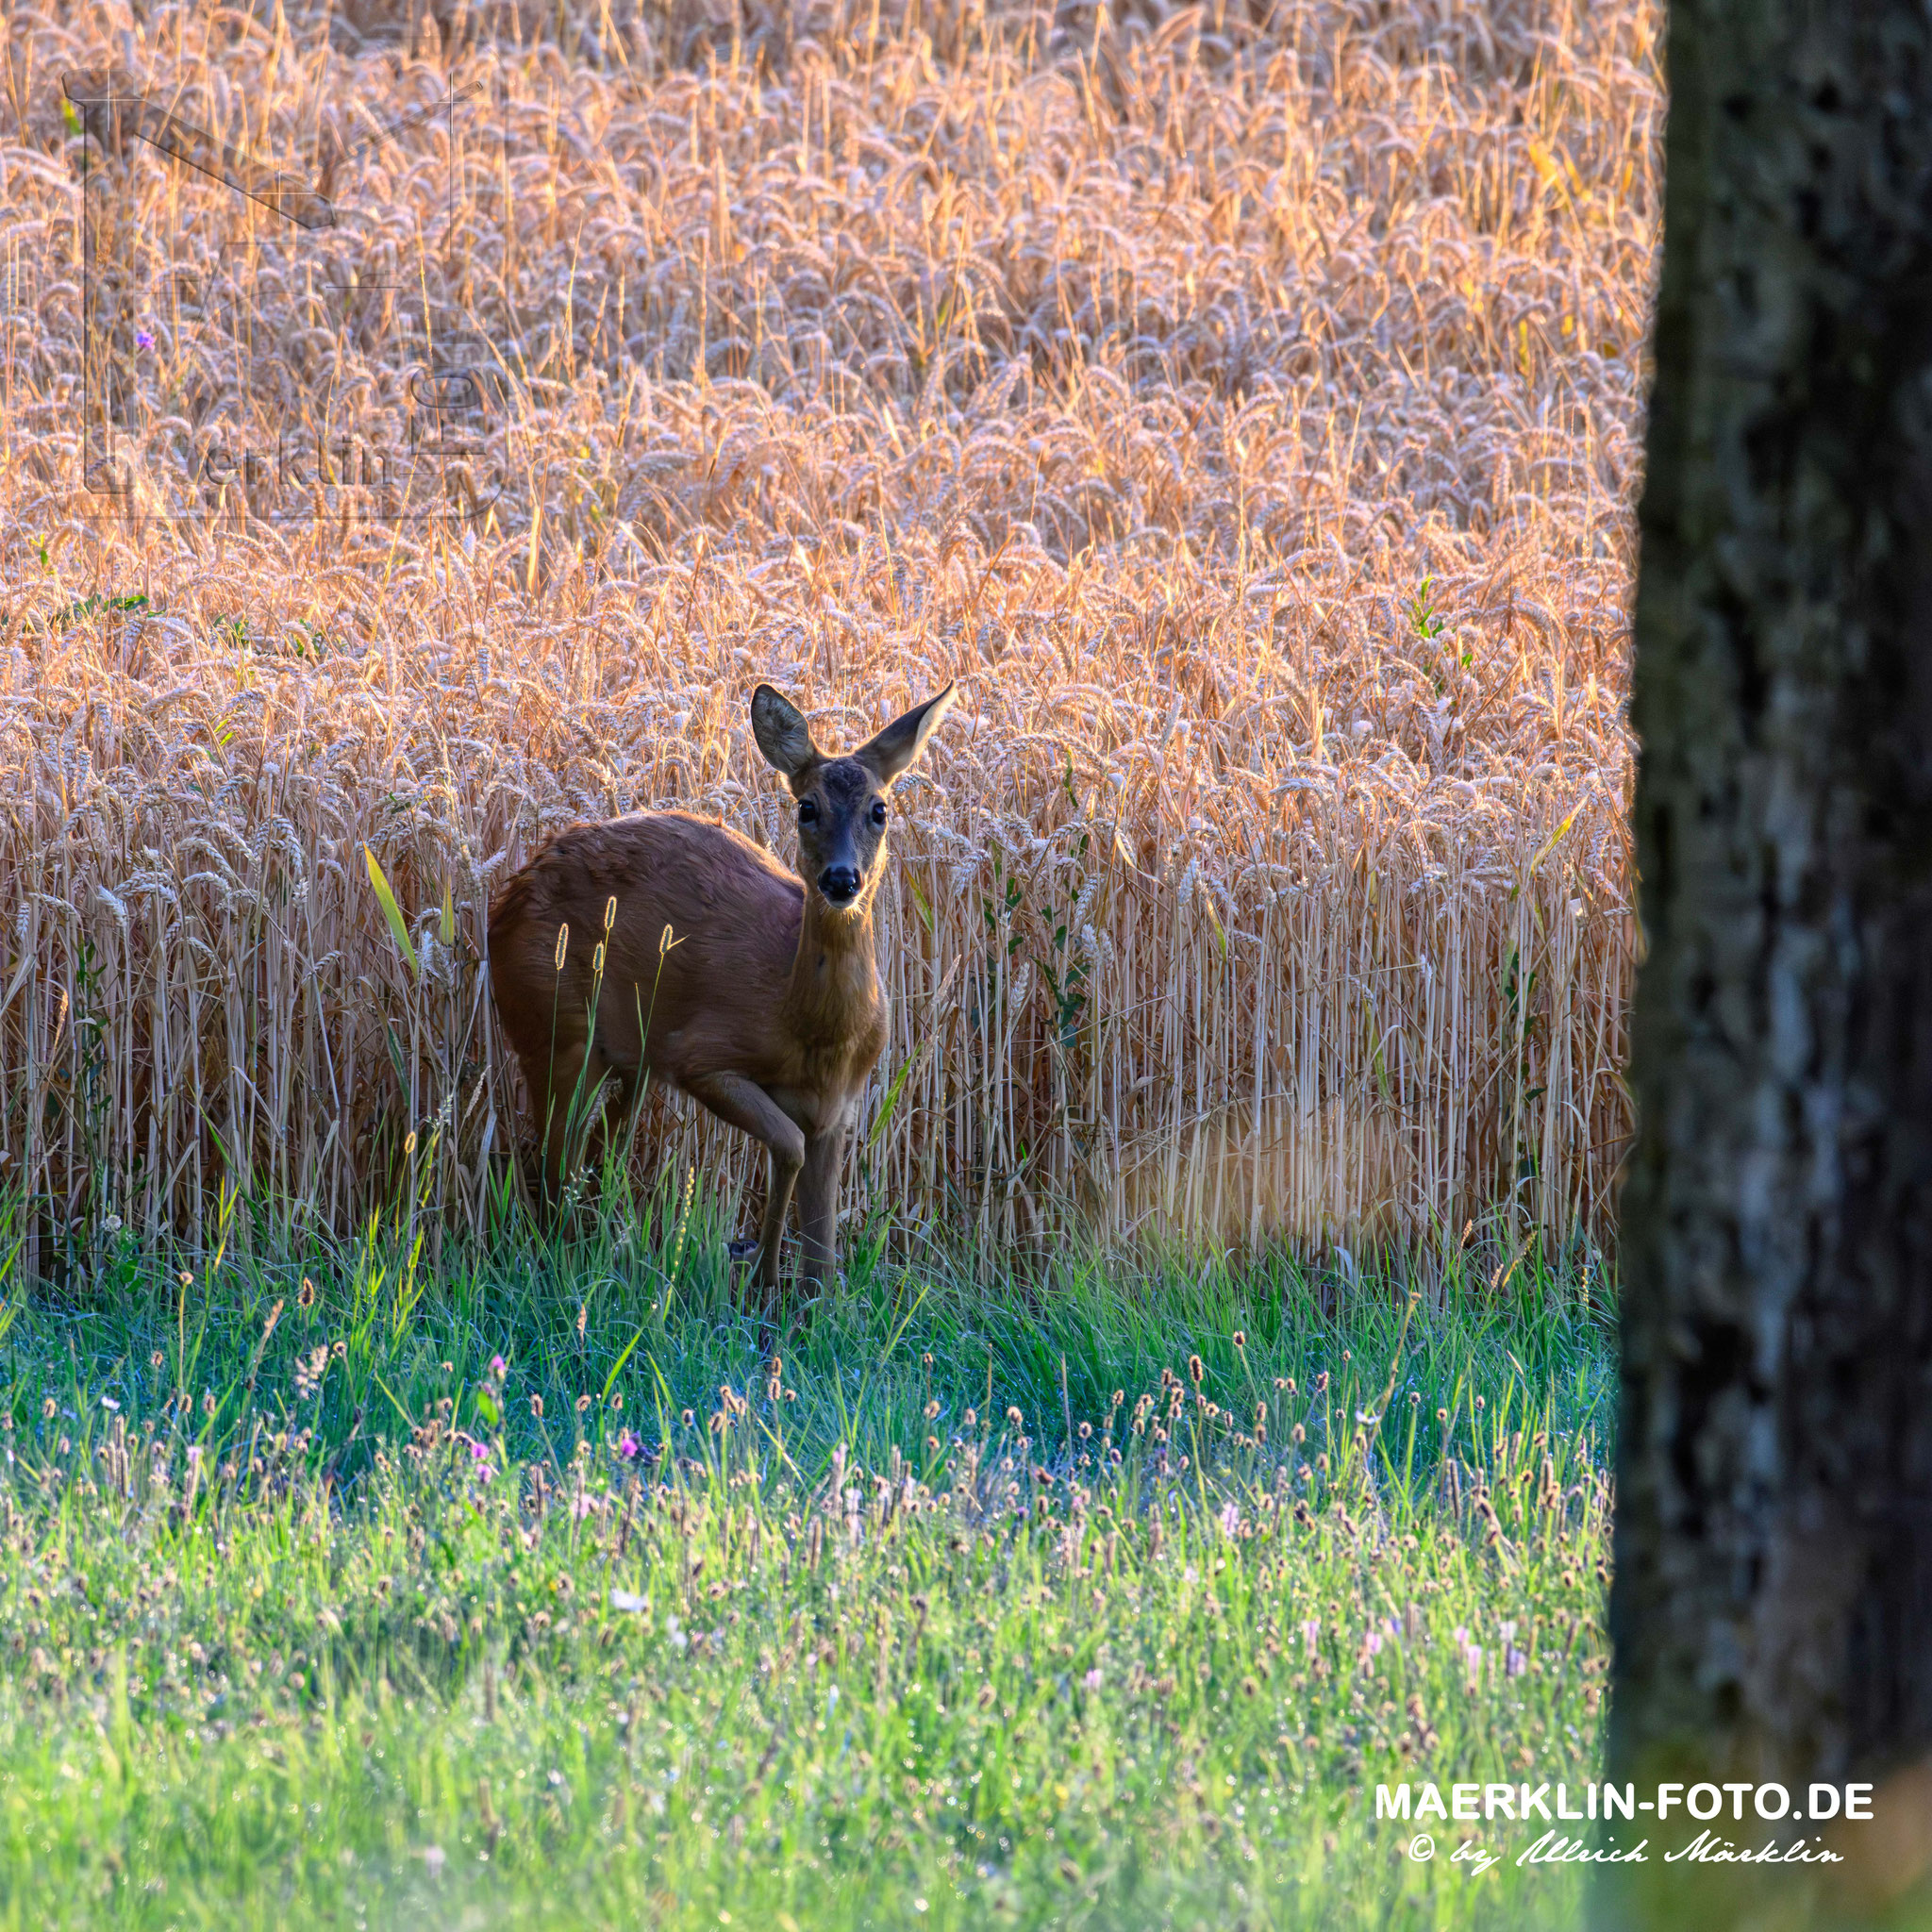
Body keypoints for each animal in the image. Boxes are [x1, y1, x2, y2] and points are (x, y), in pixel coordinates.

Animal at [491, 683, 958, 1313]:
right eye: (806, 807)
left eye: (879, 810)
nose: (841, 880)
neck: (811, 1030)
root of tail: (505, 900)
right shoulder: (701, 1057)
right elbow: (788, 1146)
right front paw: (760, 1272)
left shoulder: (839, 1109)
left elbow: (824, 1252)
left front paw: (805, 1307)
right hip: (554, 1030)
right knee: (553, 1160)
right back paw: (568, 1268)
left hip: (629, 1061)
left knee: (597, 1152)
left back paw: (607, 1255)